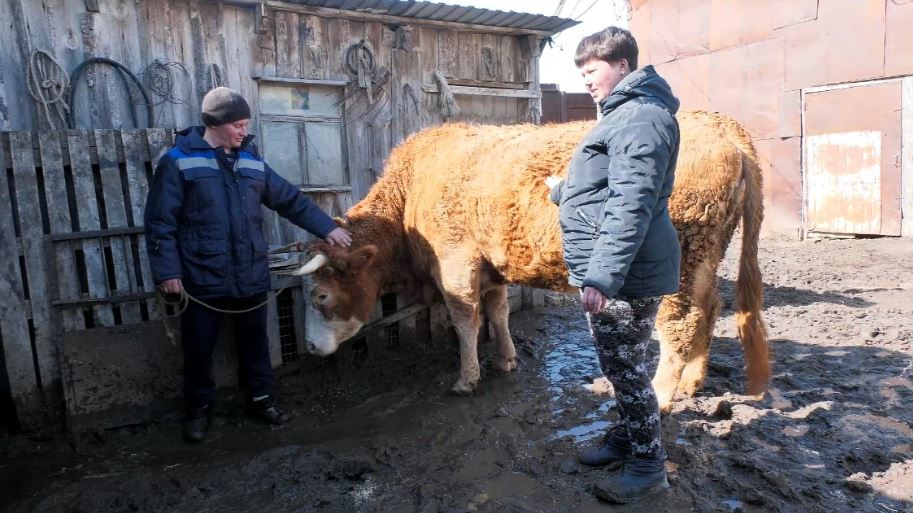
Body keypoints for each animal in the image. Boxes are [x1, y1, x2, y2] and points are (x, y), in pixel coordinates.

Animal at [296, 110, 764, 410]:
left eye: (320, 296)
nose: (310, 346)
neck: (413, 189)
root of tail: (717, 124)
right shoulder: (490, 266)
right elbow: (498, 312)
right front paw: (506, 359)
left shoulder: (455, 263)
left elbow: (467, 320)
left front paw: (466, 378)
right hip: (706, 257)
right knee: (709, 310)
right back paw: (692, 382)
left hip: (679, 263)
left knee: (680, 324)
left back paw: (664, 395)